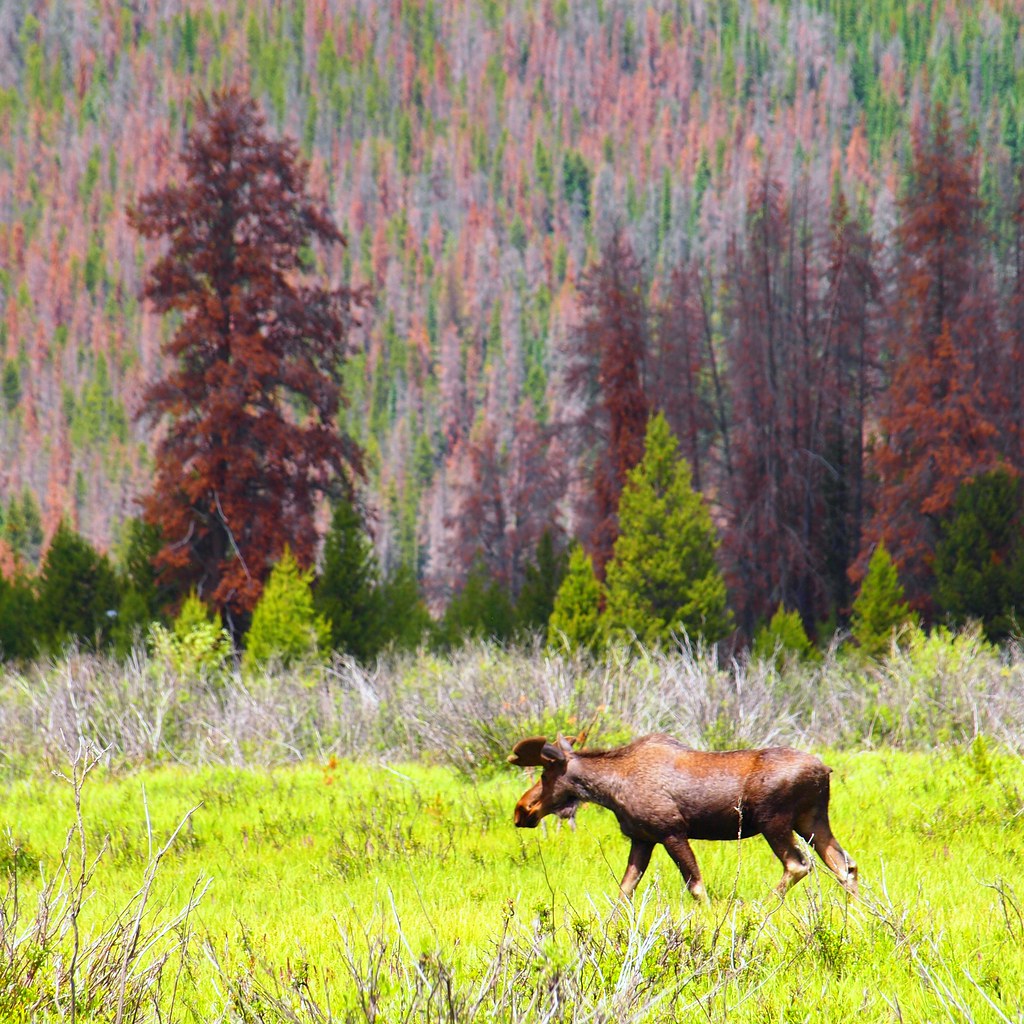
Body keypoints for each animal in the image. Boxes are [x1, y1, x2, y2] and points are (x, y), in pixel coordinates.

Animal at [509, 732, 858, 901]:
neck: (611, 790)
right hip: (812, 819)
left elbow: (696, 886)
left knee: (799, 864)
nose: (521, 810)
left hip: (774, 821)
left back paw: (762, 905)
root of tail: (825, 770)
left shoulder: (671, 831)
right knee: (845, 865)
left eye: (545, 774)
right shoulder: (642, 839)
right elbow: (624, 891)